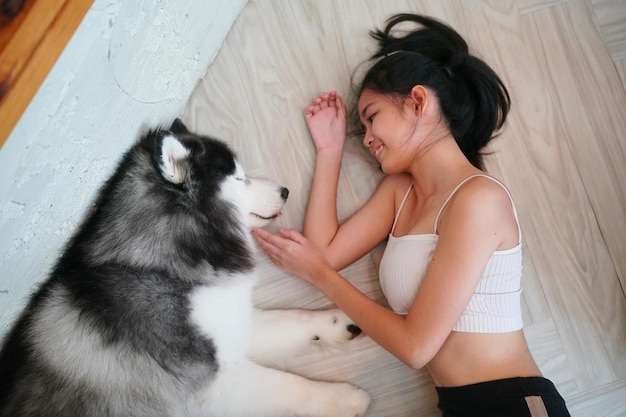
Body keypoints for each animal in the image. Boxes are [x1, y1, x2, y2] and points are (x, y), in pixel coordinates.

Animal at [0, 119, 368, 416]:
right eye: (239, 178)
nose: (286, 191)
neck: (160, 269)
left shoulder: (230, 324)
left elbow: (294, 317)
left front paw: (339, 321)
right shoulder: (210, 387)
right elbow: (292, 386)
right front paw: (345, 399)